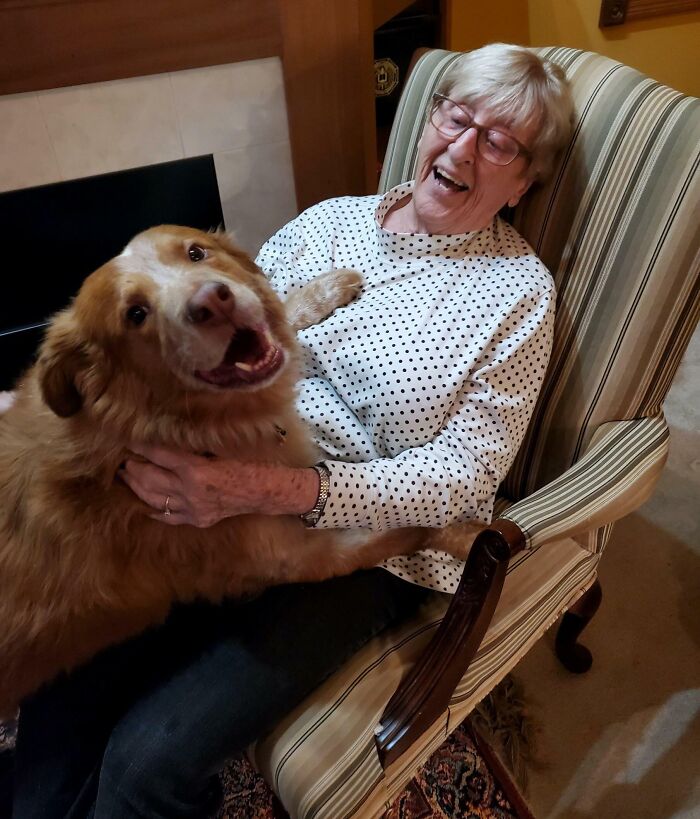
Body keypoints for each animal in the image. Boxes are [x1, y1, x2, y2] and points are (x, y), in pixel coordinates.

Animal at [0, 226, 434, 716]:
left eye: (196, 253)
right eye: (135, 314)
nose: (214, 300)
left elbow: (282, 311)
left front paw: (323, 290)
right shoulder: (292, 556)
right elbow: (388, 535)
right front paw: (461, 531)